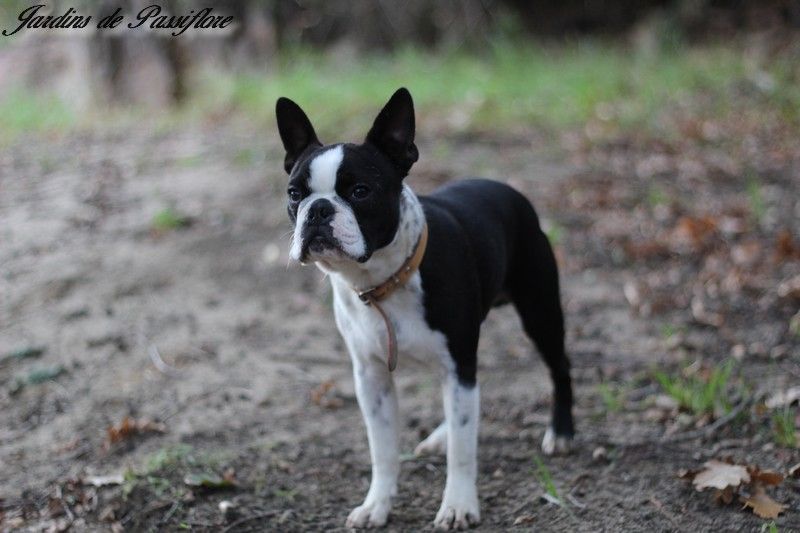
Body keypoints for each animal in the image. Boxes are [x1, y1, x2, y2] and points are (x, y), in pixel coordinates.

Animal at [276, 87, 576, 528]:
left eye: (361, 191)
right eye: (295, 194)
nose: (319, 209)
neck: (383, 282)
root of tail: (506, 188)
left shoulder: (457, 360)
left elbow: (464, 451)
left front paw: (458, 505)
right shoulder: (371, 379)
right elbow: (382, 449)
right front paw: (377, 505)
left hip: (539, 311)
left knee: (559, 366)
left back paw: (562, 432)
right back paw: (441, 434)